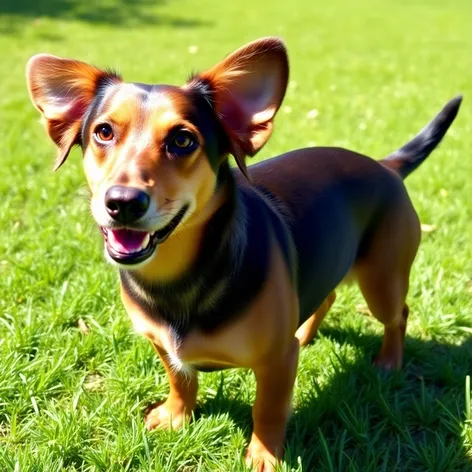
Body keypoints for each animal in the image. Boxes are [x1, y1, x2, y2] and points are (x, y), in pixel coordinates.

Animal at [24, 37, 460, 472]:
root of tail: (386, 166)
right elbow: (181, 379)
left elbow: (267, 409)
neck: (179, 278)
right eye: (103, 132)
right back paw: (305, 333)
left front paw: (264, 455)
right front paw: (177, 415)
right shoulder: (161, 344)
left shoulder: (277, 362)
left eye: (182, 140)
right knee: (328, 295)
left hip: (382, 280)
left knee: (397, 316)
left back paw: (389, 361)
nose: (123, 202)